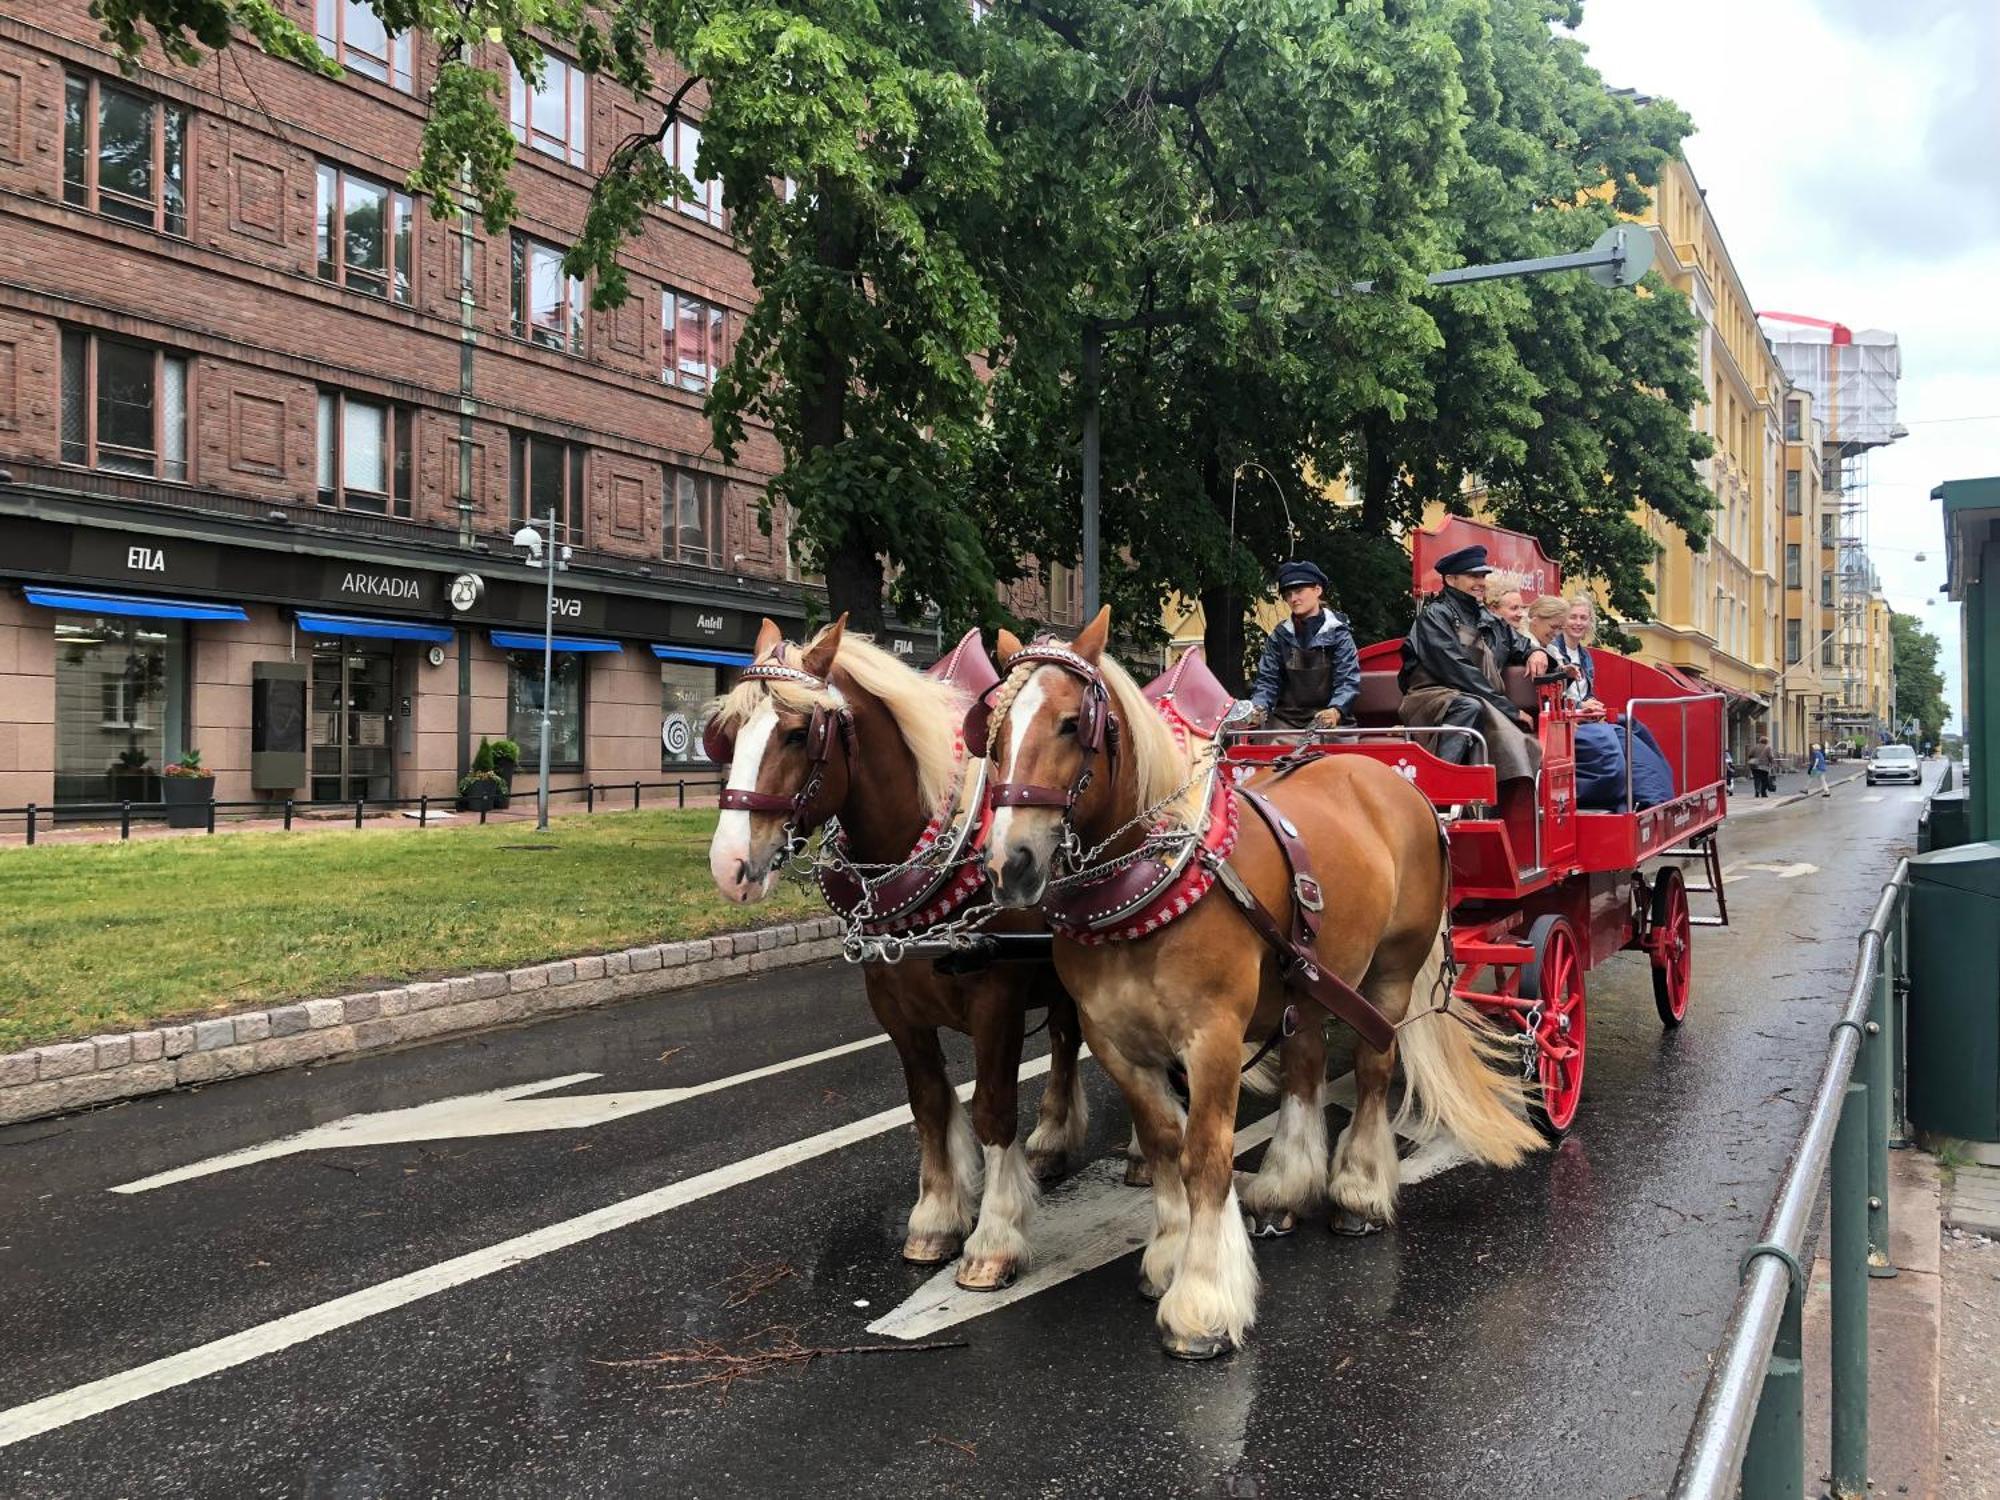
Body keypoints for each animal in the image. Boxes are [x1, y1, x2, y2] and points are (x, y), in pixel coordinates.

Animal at [712, 616, 1088, 1288]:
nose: (728, 867)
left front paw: (994, 1239)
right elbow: (930, 1105)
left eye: (799, 733)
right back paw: (1051, 1141)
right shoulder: (894, 1005)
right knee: (1067, 1040)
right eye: (727, 734)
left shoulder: (997, 1001)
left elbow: (992, 1110)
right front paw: (936, 1219)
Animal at [984, 612, 1544, 1360]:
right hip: (1309, 978)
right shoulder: (1115, 1042)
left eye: (1074, 724)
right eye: (990, 733)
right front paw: (1169, 1256)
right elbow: (1162, 1144)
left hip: (1390, 972)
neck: (1151, 887)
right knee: (1306, 1068)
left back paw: (1359, 1191)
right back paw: (1284, 1188)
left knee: (1374, 1067)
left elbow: (1205, 1156)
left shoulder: (1212, 1037)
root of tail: (1403, 785)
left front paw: (1202, 1298)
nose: (1008, 864)